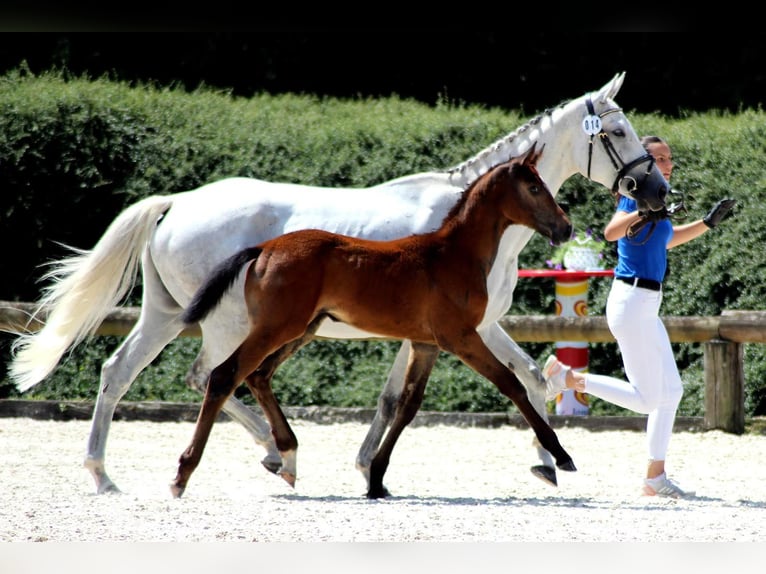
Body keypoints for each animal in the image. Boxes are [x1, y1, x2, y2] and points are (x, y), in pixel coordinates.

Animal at [172, 146, 576, 502]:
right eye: (535, 188)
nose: (566, 228)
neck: (453, 255)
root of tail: (263, 248)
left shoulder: (426, 344)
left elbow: (408, 405)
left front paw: (376, 479)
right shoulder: (460, 337)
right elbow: (511, 384)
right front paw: (561, 456)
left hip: (302, 329)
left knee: (258, 376)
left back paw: (288, 457)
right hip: (276, 327)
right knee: (224, 375)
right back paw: (183, 474)